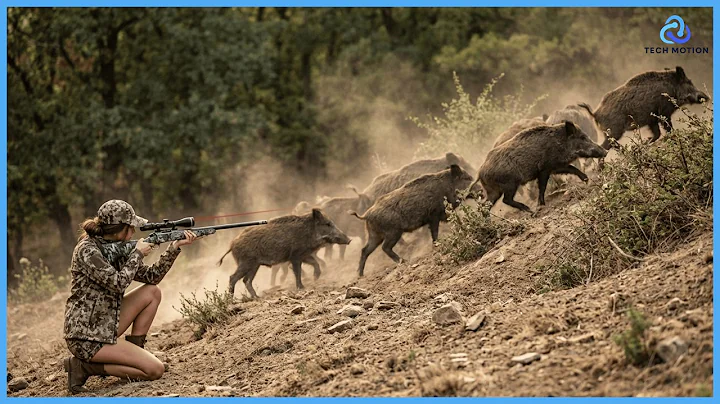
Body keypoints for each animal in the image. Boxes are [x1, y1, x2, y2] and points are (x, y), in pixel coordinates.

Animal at [217, 209, 351, 298]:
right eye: (327, 224)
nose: (349, 240)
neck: (308, 232)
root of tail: (232, 244)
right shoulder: (295, 256)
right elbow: (297, 272)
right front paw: (302, 287)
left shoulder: (303, 254)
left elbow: (315, 263)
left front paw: (315, 277)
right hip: (246, 262)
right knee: (233, 277)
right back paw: (231, 299)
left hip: (254, 265)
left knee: (246, 280)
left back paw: (256, 297)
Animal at [474, 121, 607, 212]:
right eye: (583, 137)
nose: (605, 152)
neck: (559, 143)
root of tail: (480, 172)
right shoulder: (544, 169)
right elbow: (542, 187)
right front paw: (541, 205)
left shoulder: (555, 166)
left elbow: (571, 168)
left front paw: (586, 180)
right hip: (510, 184)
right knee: (506, 200)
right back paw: (528, 209)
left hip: (493, 191)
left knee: (485, 206)